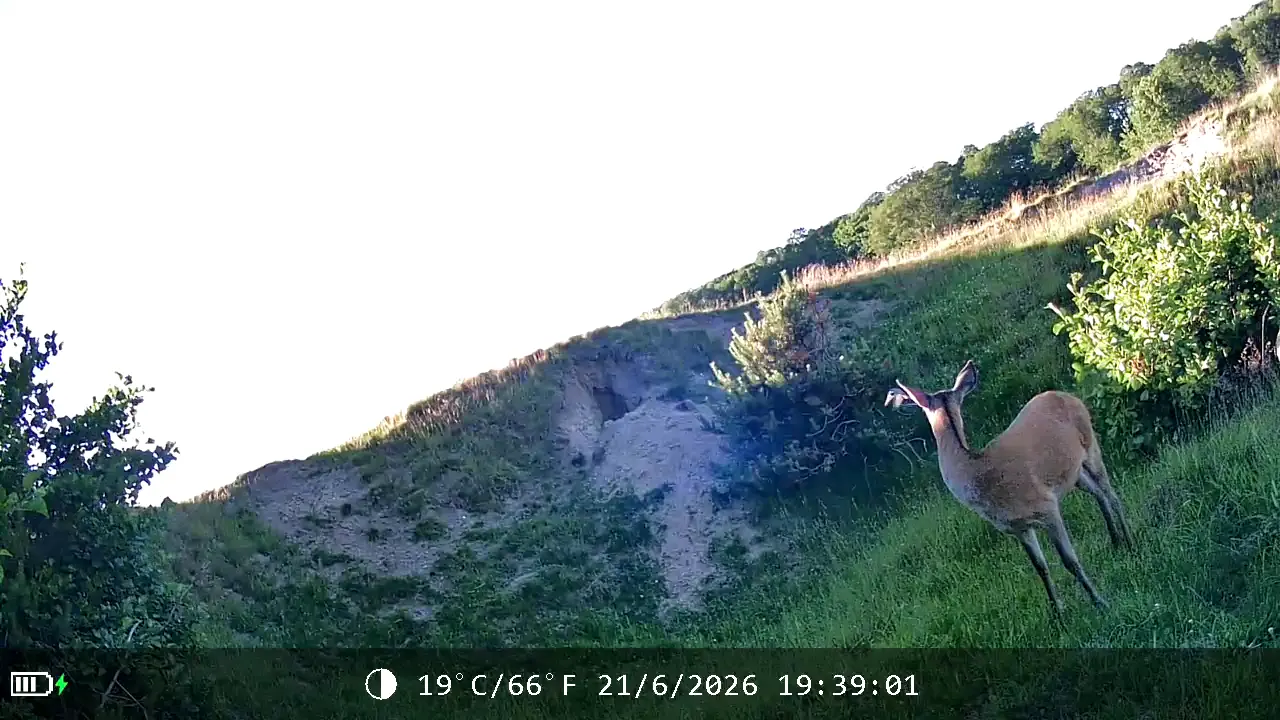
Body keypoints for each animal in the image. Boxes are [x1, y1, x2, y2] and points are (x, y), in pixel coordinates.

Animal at [884, 360, 1134, 619]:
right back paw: (1115, 541)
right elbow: (1040, 567)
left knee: (1111, 493)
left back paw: (1129, 542)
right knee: (1098, 493)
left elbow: (1069, 560)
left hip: (1091, 444)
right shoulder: (1018, 527)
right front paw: (1057, 612)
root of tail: (1064, 394)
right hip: (1074, 472)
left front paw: (1099, 601)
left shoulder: (1047, 507)